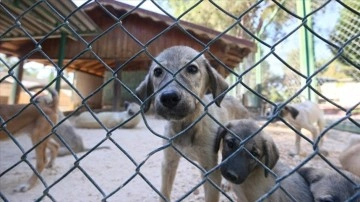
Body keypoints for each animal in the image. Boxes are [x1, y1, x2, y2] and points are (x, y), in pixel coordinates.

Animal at [135, 46, 250, 202]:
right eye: (157, 72)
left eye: (192, 69)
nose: (168, 97)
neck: (186, 126)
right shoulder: (168, 162)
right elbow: (164, 192)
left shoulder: (210, 170)